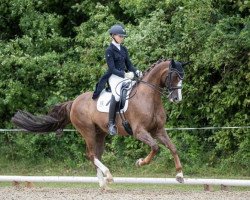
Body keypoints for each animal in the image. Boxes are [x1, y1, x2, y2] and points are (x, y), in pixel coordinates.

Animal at [11, 59, 188, 189]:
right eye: (174, 76)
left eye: (182, 76)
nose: (177, 98)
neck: (149, 97)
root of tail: (74, 102)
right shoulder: (139, 132)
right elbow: (155, 147)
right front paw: (140, 162)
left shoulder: (158, 130)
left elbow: (173, 147)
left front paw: (179, 175)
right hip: (87, 131)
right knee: (90, 154)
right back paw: (108, 176)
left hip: (100, 133)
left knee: (96, 154)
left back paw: (103, 184)